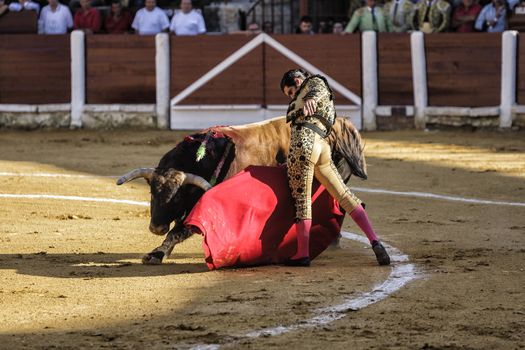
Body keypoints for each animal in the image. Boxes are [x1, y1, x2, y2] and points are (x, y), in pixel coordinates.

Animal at [116, 116, 366, 264]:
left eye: (177, 198)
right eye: (152, 193)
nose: (156, 227)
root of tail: (341, 124)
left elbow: (179, 230)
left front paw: (157, 253)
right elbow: (179, 228)